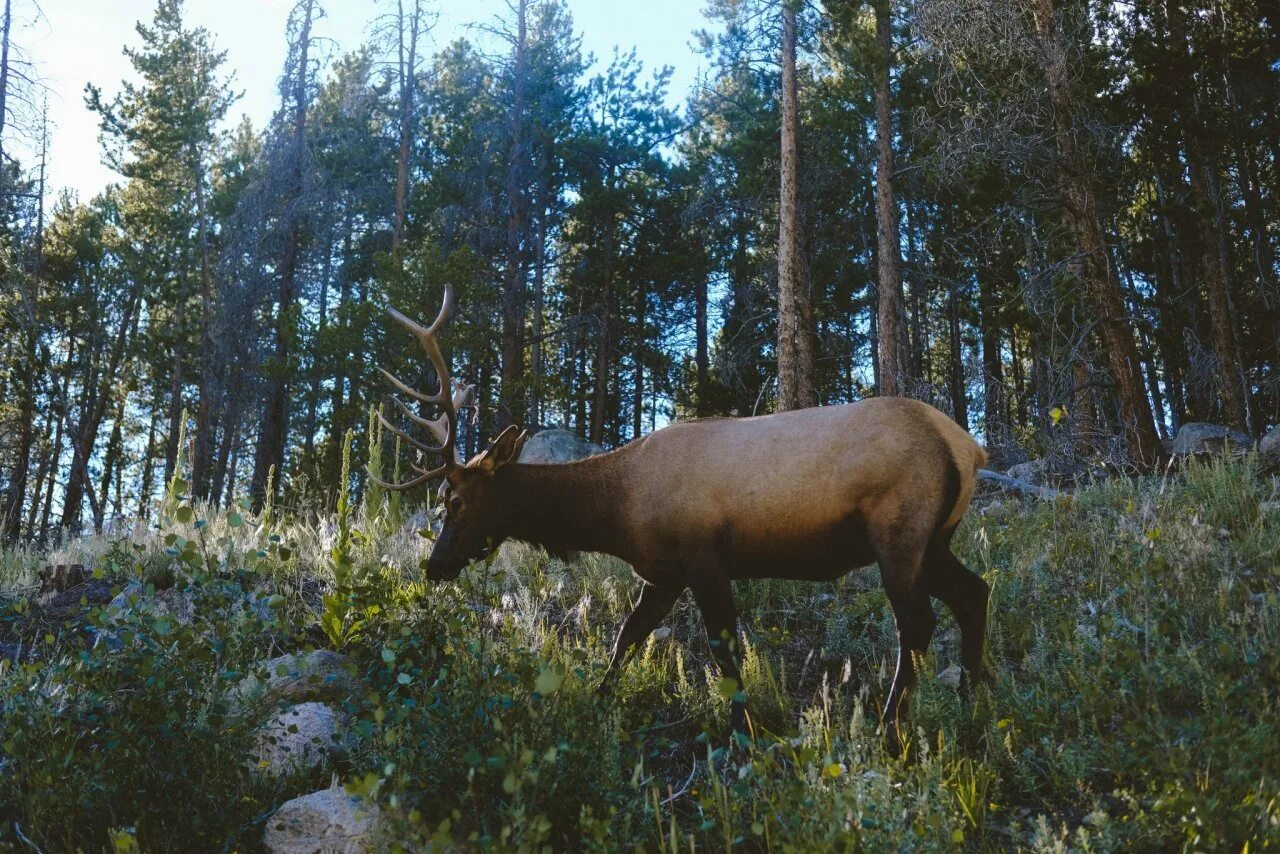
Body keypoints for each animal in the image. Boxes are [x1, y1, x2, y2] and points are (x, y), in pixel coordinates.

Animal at [371, 284, 988, 752]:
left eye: (454, 501)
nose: (433, 567)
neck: (617, 513)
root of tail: (968, 447)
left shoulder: (703, 556)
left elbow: (723, 650)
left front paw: (745, 735)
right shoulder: (662, 572)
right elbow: (626, 637)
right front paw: (598, 701)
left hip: (899, 533)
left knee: (918, 623)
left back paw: (891, 728)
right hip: (936, 539)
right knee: (974, 592)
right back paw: (971, 701)